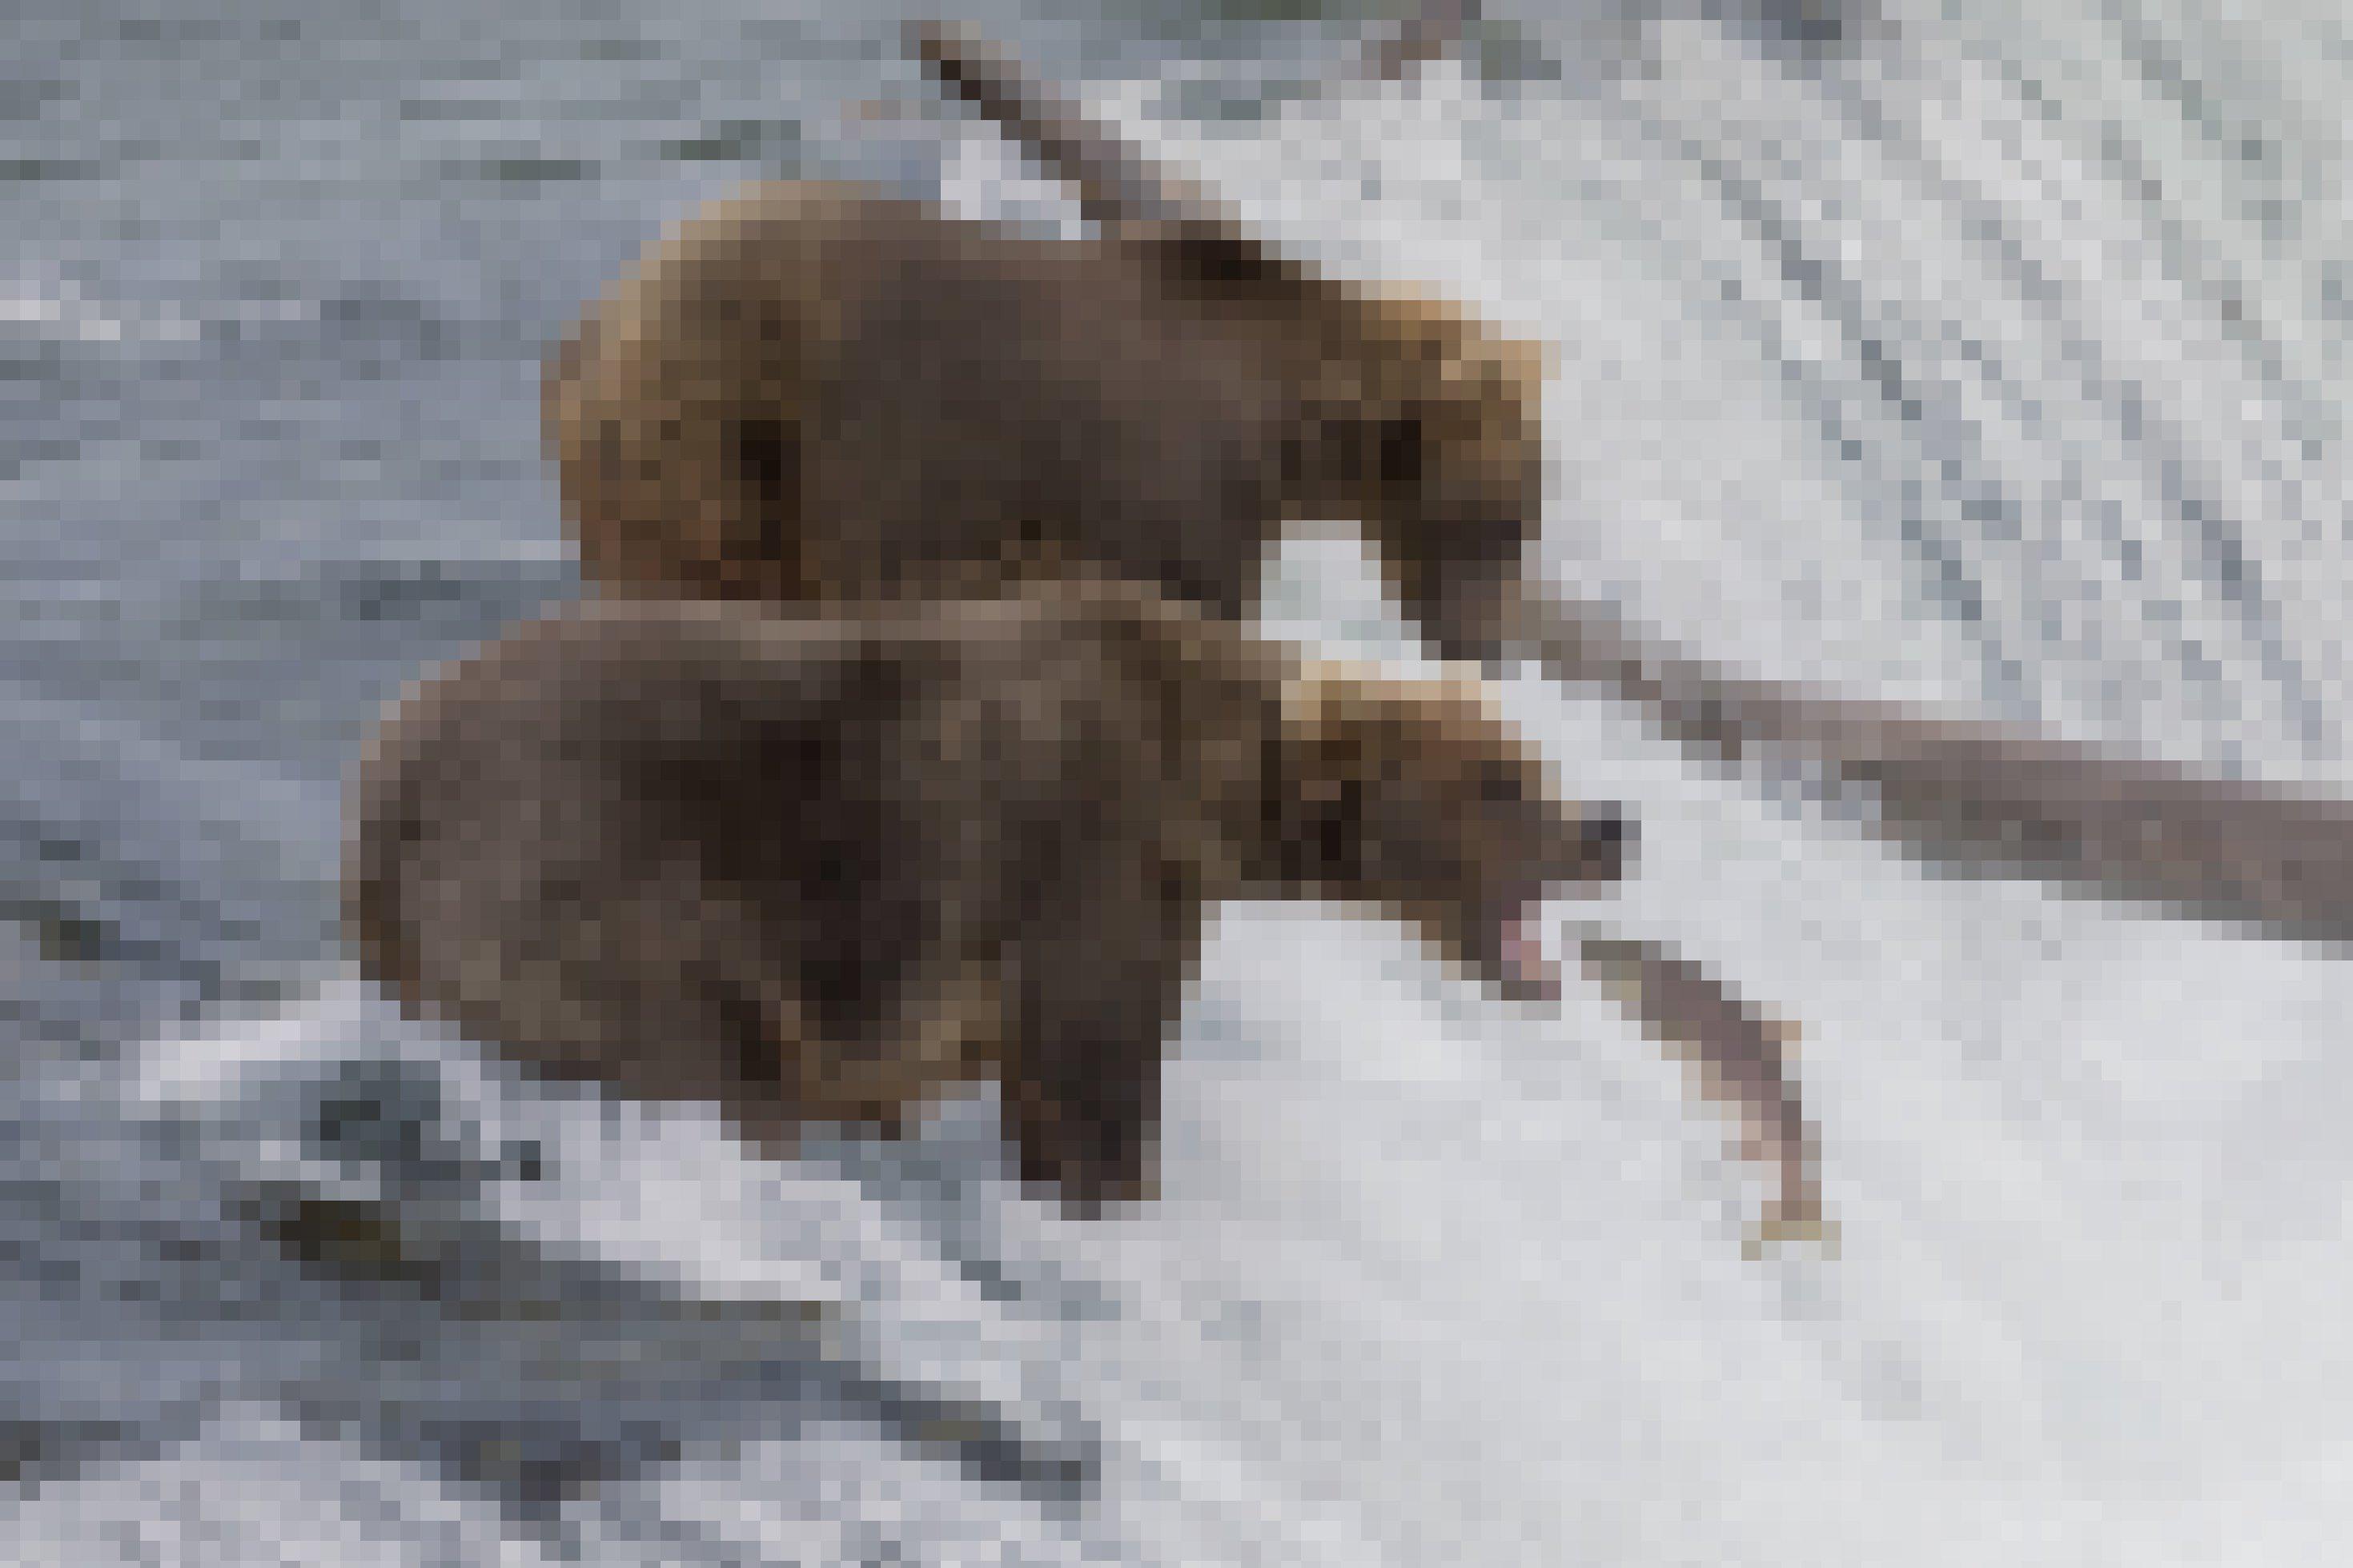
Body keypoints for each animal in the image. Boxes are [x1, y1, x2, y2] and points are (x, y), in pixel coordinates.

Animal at [347, 582, 1629, 1210]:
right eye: (1499, 780)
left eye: (1533, 762)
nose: (1606, 828)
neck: (1210, 793)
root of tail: (378, 795)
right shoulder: (1089, 861)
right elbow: (1092, 1070)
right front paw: (1109, 1192)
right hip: (589, 878)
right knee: (718, 1059)